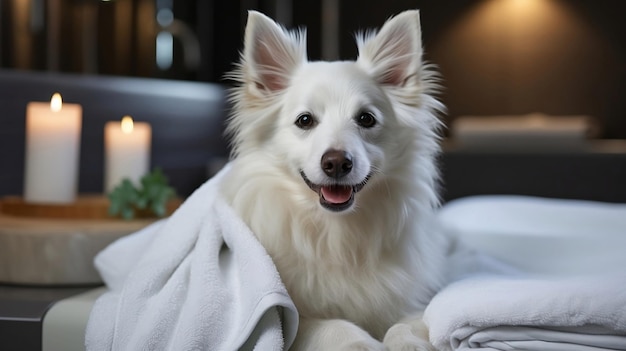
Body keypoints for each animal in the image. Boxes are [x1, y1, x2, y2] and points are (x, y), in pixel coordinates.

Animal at [222, 9, 446, 350]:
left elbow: (411, 323)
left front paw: (408, 342)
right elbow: (334, 326)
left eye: (366, 119)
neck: (337, 233)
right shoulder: (291, 318)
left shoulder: (412, 302)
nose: (337, 162)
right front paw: (361, 343)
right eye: (304, 120)